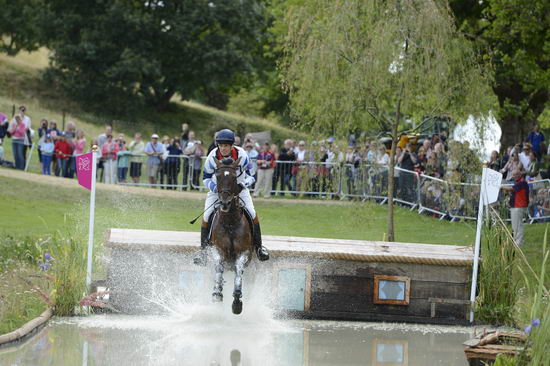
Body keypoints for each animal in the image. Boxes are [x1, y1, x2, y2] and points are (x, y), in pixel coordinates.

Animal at [210, 157, 256, 314]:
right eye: (217, 176)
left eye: (234, 177)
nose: (225, 202)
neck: (230, 222)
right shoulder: (217, 250)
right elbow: (218, 269)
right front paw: (217, 294)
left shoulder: (244, 253)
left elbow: (238, 274)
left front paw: (237, 302)